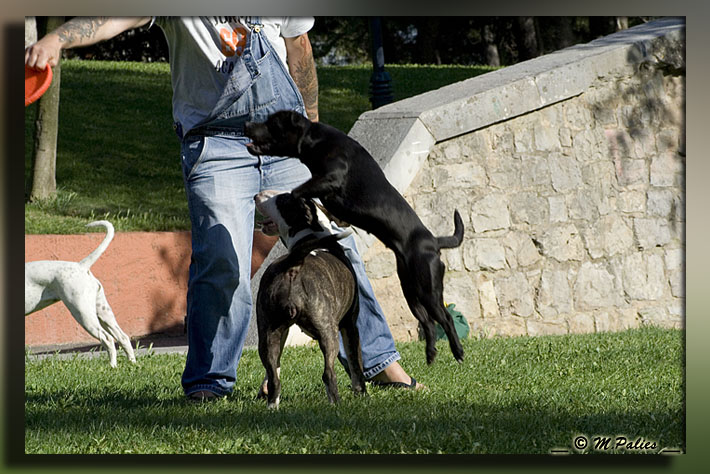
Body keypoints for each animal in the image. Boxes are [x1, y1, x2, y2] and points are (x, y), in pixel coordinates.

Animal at [25, 220, 138, 368]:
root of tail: (82, 266)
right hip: (103, 312)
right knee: (123, 337)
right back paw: (133, 363)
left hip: (83, 313)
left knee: (108, 339)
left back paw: (112, 366)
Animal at [249, 111, 468, 362]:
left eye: (272, 124)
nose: (247, 125)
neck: (316, 139)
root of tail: (434, 241)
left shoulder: (330, 177)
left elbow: (298, 191)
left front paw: (301, 205)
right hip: (411, 292)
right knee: (428, 322)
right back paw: (431, 353)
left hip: (428, 289)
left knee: (445, 318)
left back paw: (458, 351)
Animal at [254, 190, 368, 408]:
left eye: (281, 199)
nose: (257, 195)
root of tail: (293, 265)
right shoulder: (350, 325)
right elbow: (356, 363)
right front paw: (362, 394)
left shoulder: (283, 329)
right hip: (328, 331)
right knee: (328, 373)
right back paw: (335, 405)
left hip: (267, 330)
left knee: (274, 377)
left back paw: (272, 406)